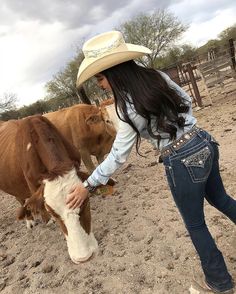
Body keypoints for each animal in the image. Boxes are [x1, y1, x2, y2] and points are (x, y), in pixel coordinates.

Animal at [0, 116, 109, 262]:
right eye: (53, 213)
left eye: (86, 202)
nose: (84, 257)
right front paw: (47, 219)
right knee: (21, 200)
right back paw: (30, 220)